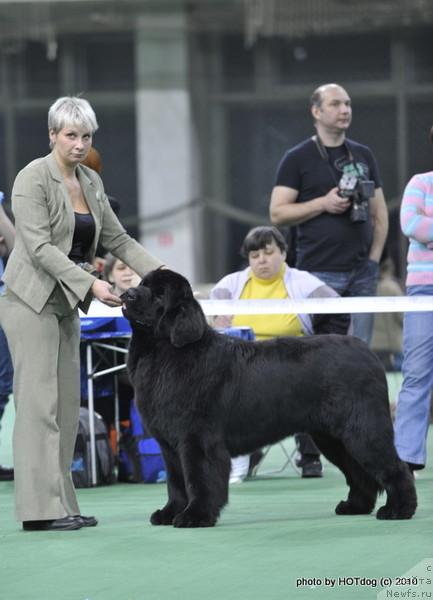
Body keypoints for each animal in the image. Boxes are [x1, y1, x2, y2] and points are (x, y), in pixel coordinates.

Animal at [120, 268, 416, 524]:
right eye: (143, 283)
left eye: (159, 295)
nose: (128, 294)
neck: (166, 352)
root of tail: (369, 353)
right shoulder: (170, 446)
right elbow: (176, 483)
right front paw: (169, 513)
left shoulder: (196, 439)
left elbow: (198, 480)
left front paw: (196, 516)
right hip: (333, 437)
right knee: (359, 473)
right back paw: (355, 506)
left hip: (362, 430)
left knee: (395, 467)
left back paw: (398, 509)